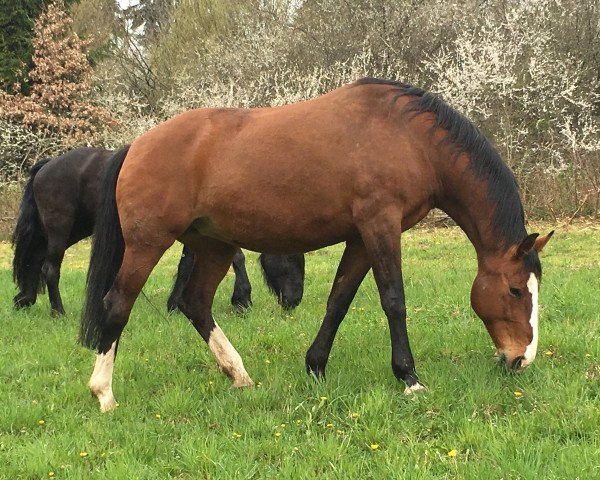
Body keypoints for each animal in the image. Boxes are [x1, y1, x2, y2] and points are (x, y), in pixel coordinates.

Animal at [12, 148, 304, 316]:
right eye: (291, 257)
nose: (294, 301)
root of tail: (47, 165)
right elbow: (237, 259)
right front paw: (242, 299)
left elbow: (185, 266)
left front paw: (174, 304)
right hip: (61, 229)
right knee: (50, 268)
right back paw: (57, 312)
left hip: (72, 229)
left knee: (35, 259)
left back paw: (25, 298)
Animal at [79, 79, 552, 412]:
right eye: (515, 290)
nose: (521, 359)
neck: (409, 138)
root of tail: (136, 145)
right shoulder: (381, 226)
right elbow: (393, 300)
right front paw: (409, 377)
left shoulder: (362, 236)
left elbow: (339, 300)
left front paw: (316, 365)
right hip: (147, 244)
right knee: (117, 303)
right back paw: (103, 393)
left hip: (213, 246)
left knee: (196, 303)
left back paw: (239, 375)